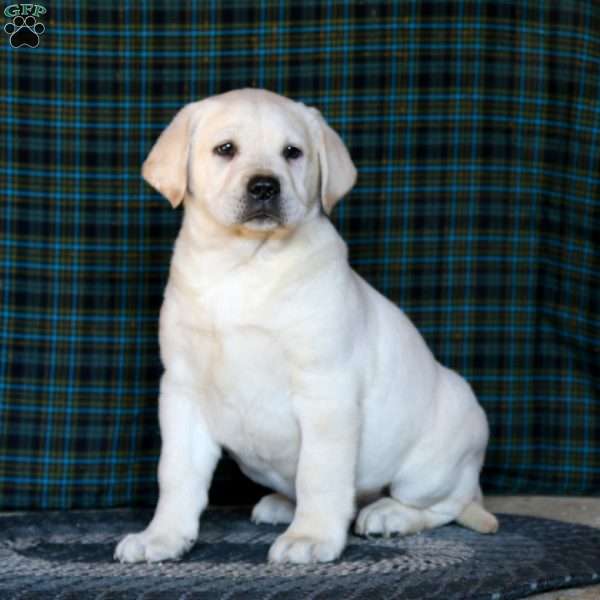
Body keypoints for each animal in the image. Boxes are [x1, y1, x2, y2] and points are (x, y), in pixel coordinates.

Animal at [113, 86, 496, 564]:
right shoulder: (182, 390)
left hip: (431, 465)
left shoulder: (326, 389)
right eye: (226, 149)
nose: (264, 186)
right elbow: (177, 475)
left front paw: (311, 537)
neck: (244, 263)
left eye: (292, 152)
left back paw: (388, 514)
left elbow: (321, 473)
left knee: (443, 504)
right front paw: (162, 536)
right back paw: (283, 504)